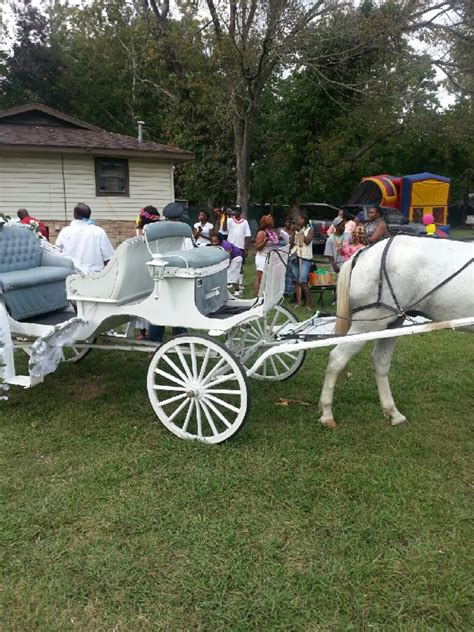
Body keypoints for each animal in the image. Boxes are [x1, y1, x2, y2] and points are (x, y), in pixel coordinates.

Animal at [320, 237, 472, 430]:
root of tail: (364, 252)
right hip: (367, 324)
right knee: (337, 358)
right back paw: (326, 413)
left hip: (392, 323)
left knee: (380, 361)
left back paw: (393, 413)